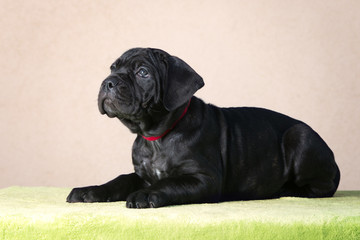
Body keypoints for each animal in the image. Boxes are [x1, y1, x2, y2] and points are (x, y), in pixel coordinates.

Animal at [67, 47, 340, 208]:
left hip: (300, 136)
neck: (155, 136)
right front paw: (91, 190)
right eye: (112, 68)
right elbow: (120, 180)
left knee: (321, 187)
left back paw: (284, 189)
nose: (108, 82)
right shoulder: (142, 175)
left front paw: (145, 195)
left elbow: (169, 183)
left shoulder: (203, 179)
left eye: (143, 72)